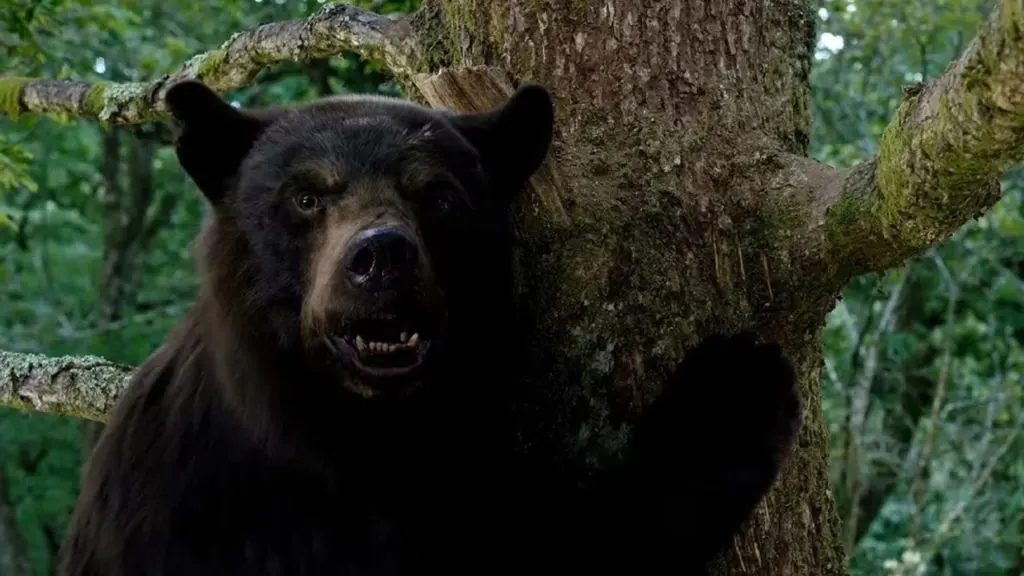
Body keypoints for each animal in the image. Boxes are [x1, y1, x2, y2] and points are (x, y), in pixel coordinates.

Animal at [57, 79, 801, 576]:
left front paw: (733, 387)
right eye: (305, 195)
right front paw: (734, 387)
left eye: (439, 196)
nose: (381, 257)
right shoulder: (184, 510)